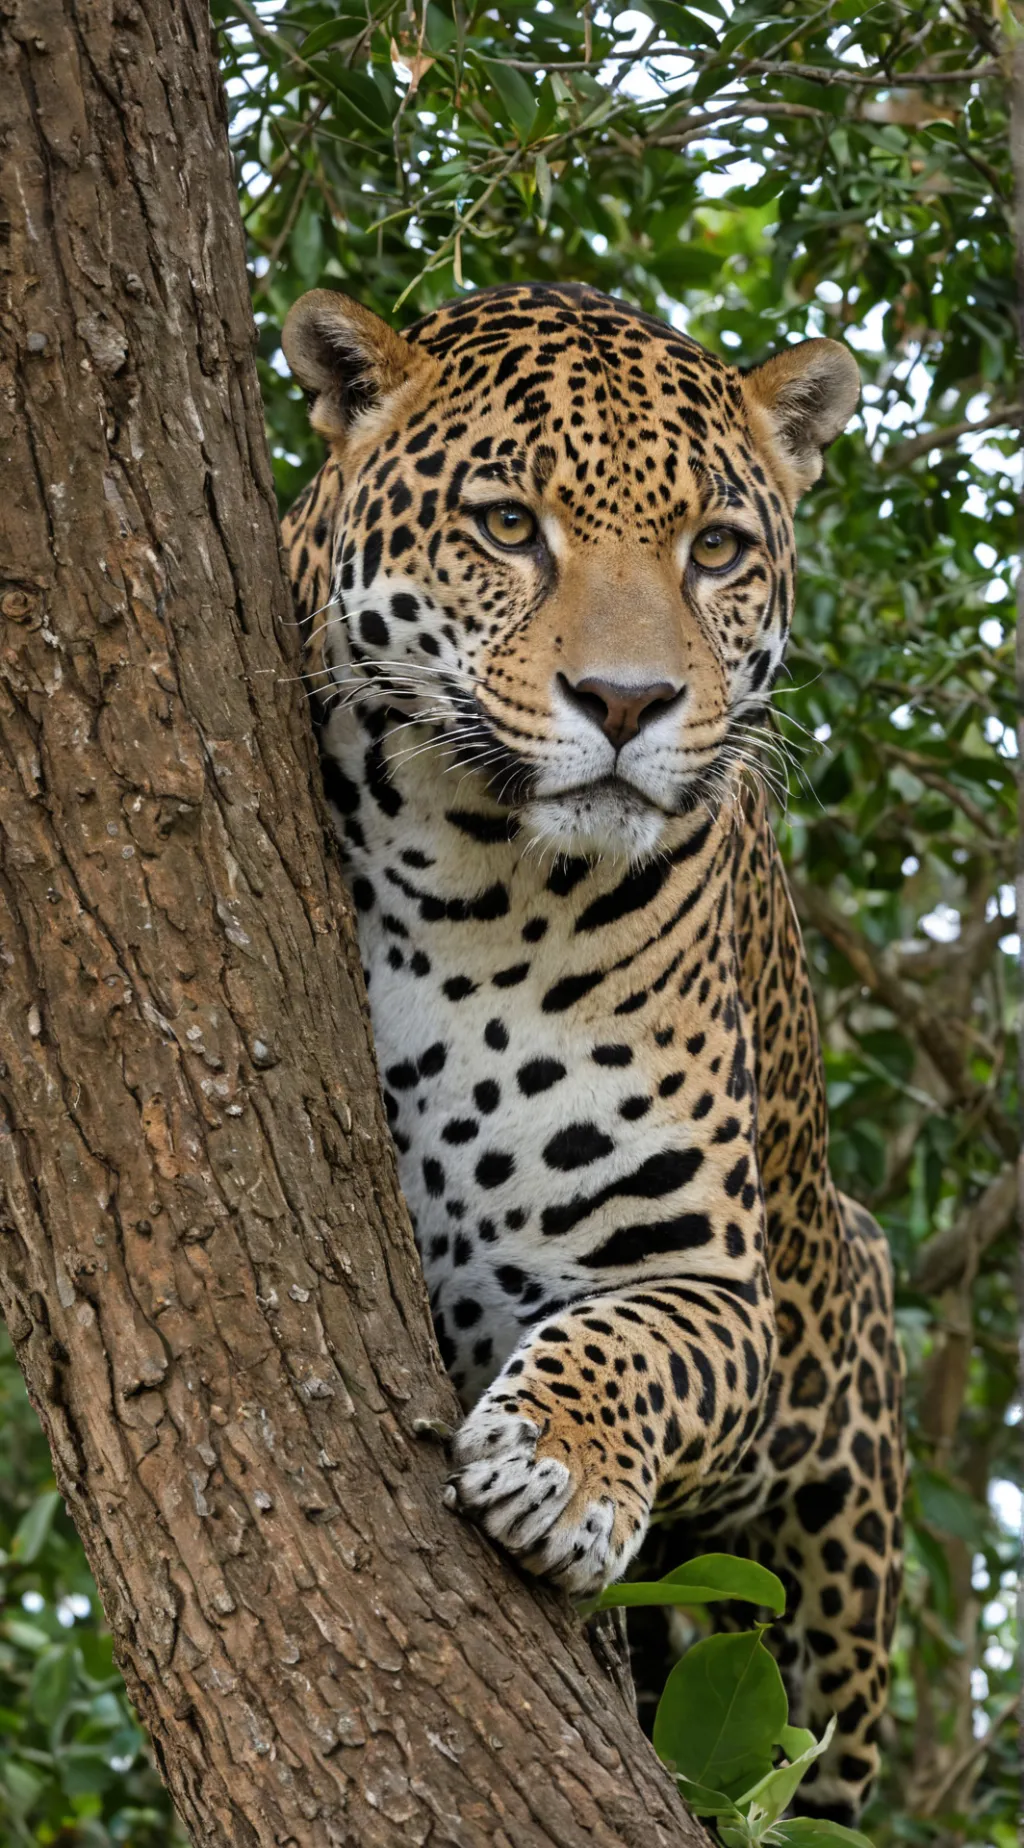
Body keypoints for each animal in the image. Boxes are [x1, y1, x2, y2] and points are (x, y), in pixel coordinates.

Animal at [280, 281, 904, 1825]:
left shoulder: (715, 1288)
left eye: (715, 549)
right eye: (510, 526)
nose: (625, 705)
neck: (482, 875)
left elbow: (630, 1341)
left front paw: (557, 1472)